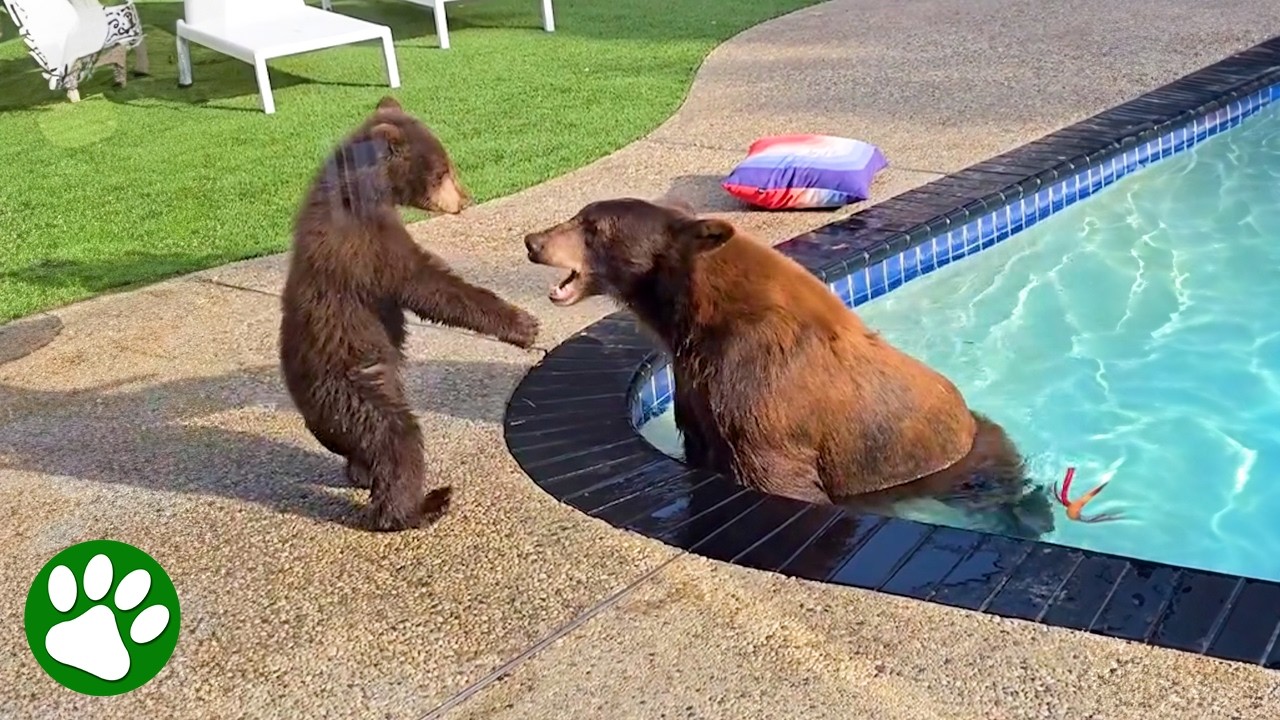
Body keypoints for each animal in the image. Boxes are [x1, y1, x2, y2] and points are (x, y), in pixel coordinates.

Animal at [280, 96, 540, 532]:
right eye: (442, 172)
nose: (466, 199)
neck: (362, 191)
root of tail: (303, 408)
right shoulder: (368, 244)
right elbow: (428, 286)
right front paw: (524, 324)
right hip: (353, 390)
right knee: (397, 441)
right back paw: (421, 505)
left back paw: (360, 473)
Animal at [523, 197, 1052, 539]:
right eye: (580, 217)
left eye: (592, 227)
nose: (533, 240)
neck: (694, 317)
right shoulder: (697, 388)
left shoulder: (761, 391)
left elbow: (775, 473)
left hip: (961, 458)